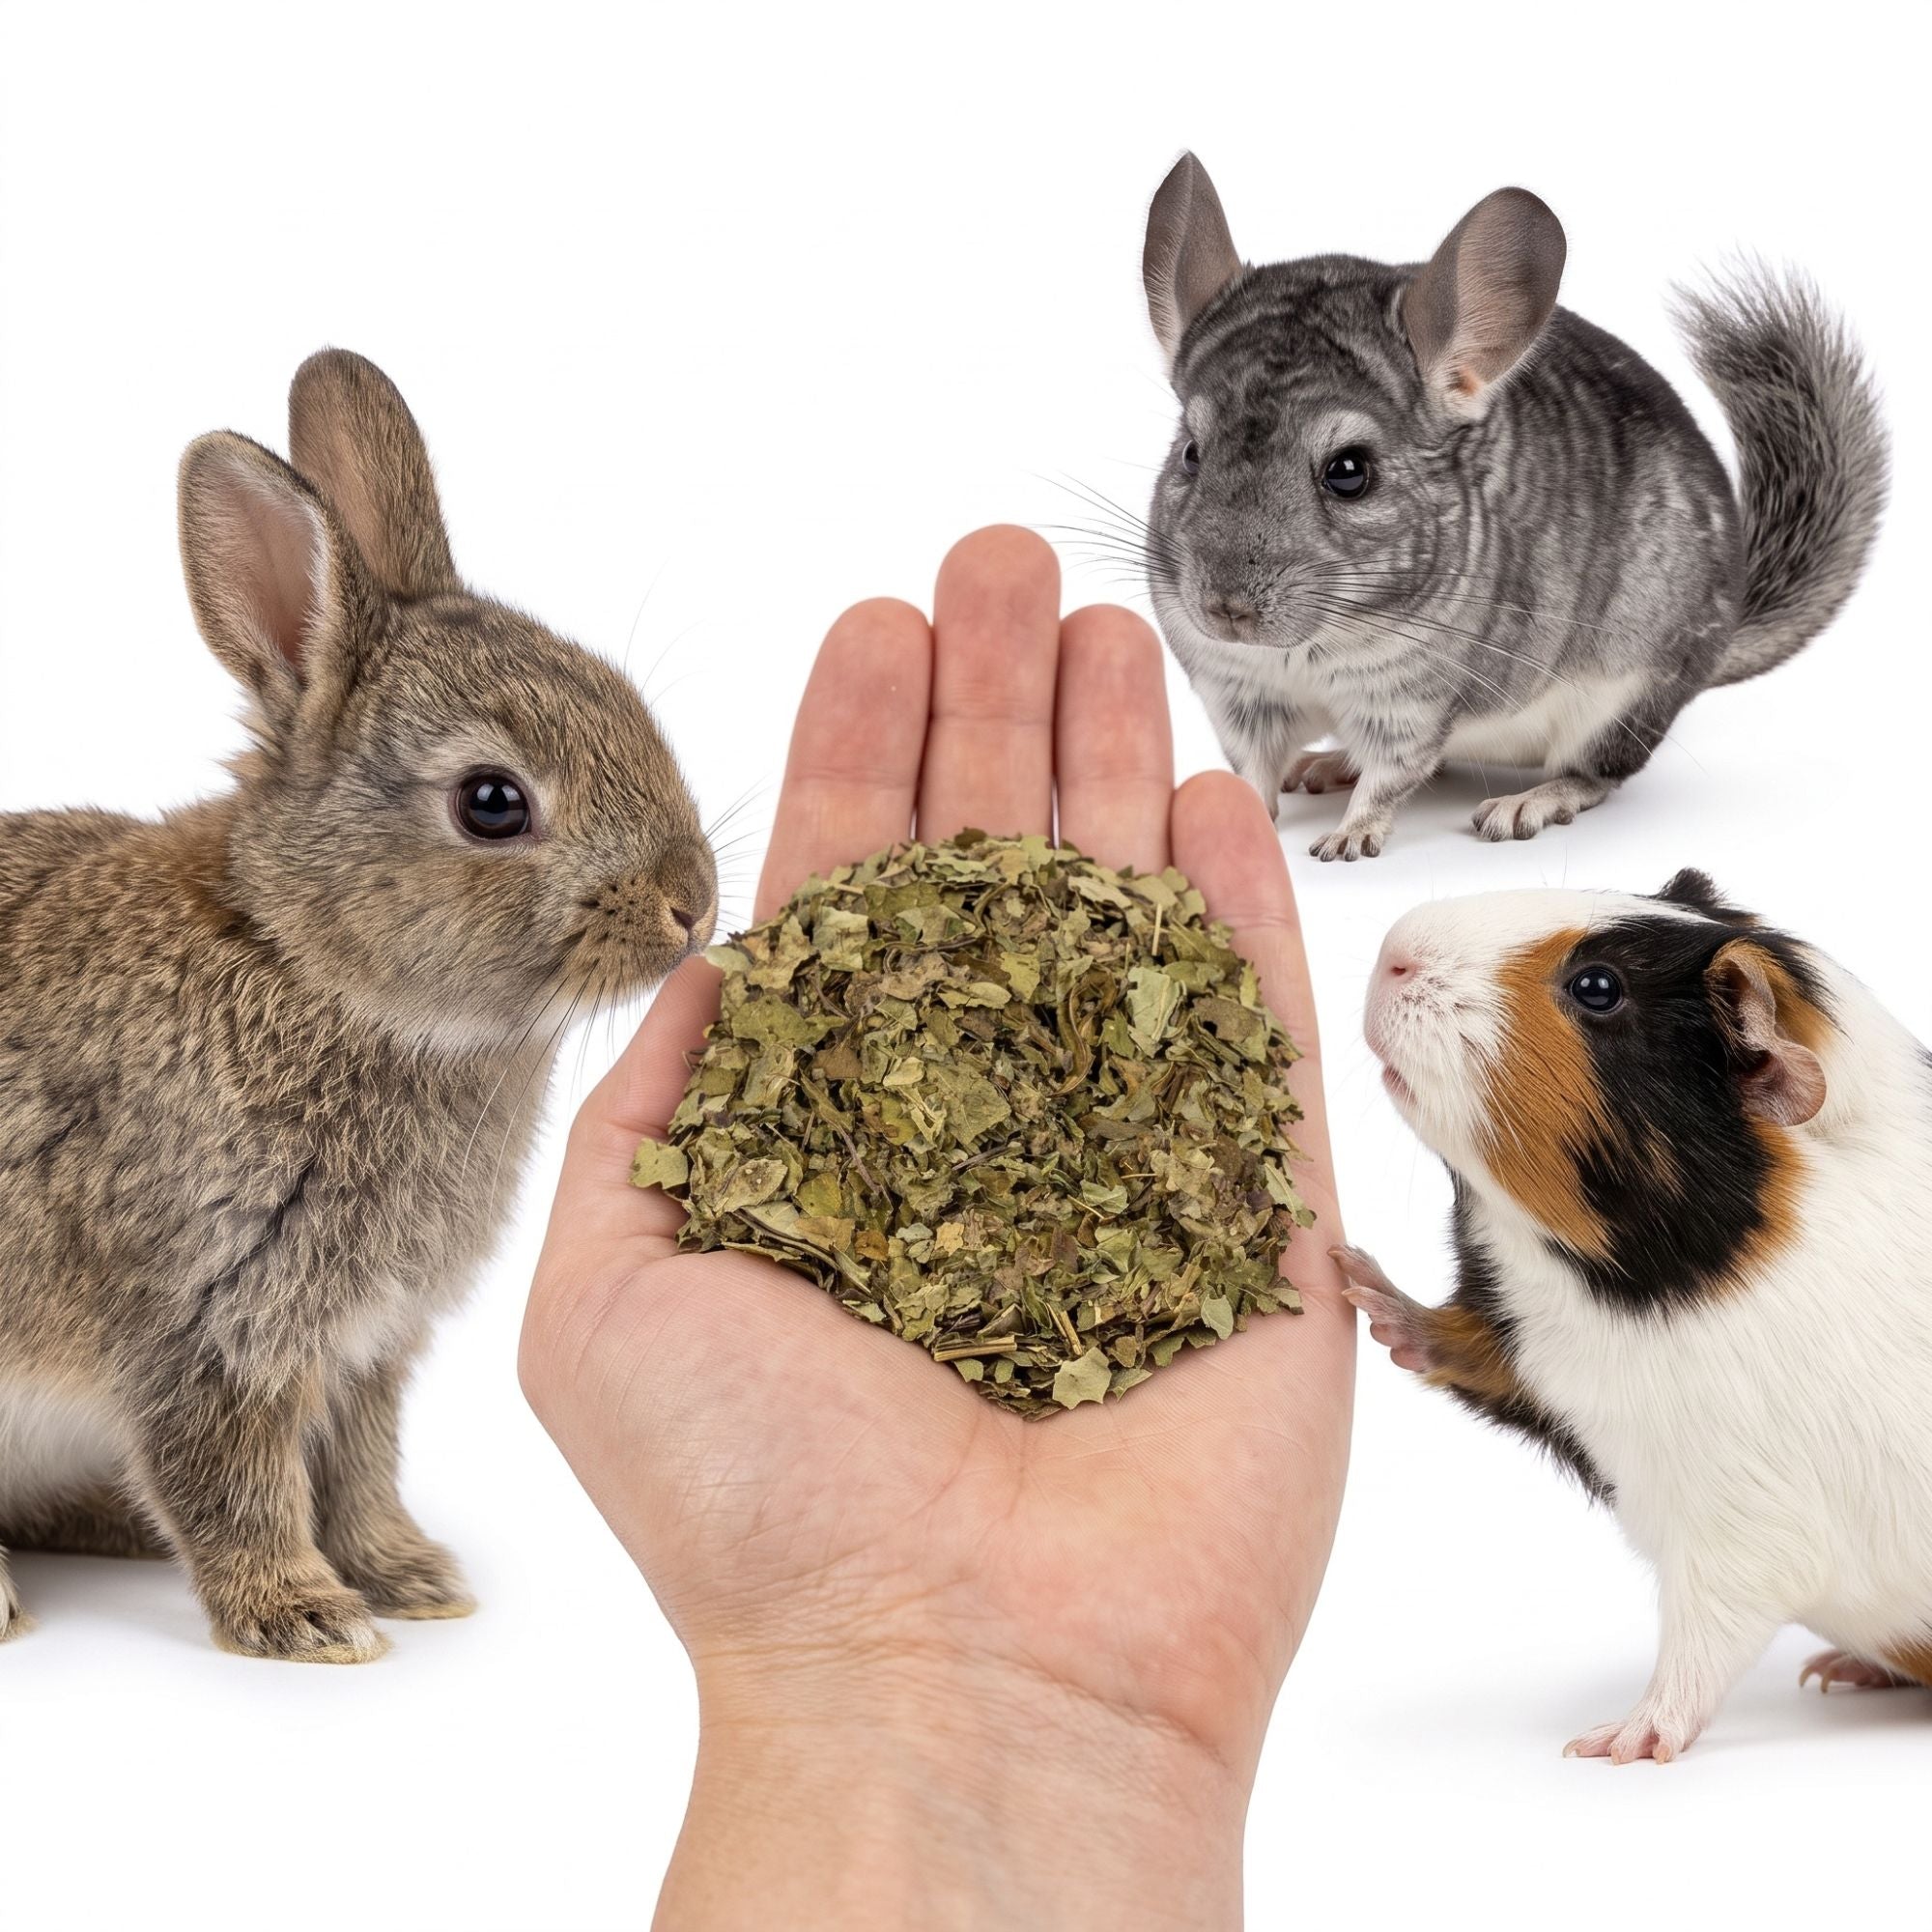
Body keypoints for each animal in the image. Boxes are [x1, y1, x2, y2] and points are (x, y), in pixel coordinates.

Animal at [0, 350, 716, 1661]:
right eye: (492, 802)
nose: (691, 905)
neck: (306, 957)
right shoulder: (210, 1318)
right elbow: (232, 1476)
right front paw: (306, 1616)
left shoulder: (366, 1344)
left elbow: (359, 1466)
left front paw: (409, 1576)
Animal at [1137, 153, 1888, 859]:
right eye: (1191, 453)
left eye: (1349, 472)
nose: (1225, 610)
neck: (1308, 649)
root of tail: (1726, 630)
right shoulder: (1236, 694)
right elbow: (1253, 768)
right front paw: (1243, 813)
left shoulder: (1412, 703)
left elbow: (1391, 777)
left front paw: (1346, 841)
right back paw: (1327, 765)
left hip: (1625, 700)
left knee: (1595, 775)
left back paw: (1527, 803)